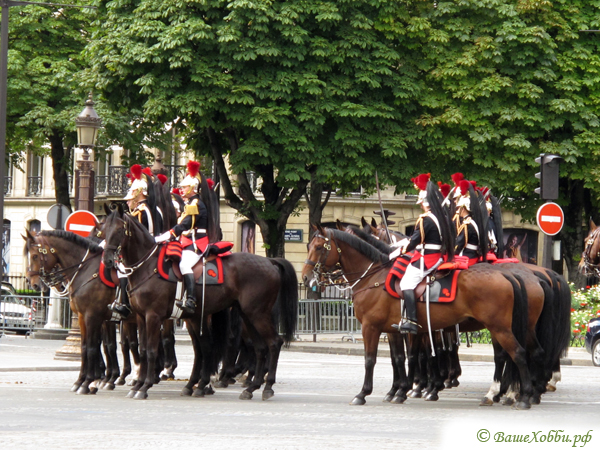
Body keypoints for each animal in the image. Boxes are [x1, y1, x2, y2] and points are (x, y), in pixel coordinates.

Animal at [102, 206, 300, 400]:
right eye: (103, 230)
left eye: (118, 230)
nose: (108, 260)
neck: (147, 266)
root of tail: (269, 261)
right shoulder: (141, 317)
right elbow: (143, 350)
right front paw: (138, 385)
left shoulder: (153, 316)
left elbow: (151, 350)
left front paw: (144, 386)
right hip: (245, 315)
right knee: (258, 347)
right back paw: (249, 387)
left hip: (257, 314)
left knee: (273, 343)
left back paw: (266, 386)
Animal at [304, 223, 536, 410]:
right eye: (308, 246)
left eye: (319, 247)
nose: (306, 277)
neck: (374, 277)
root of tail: (505, 273)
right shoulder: (396, 330)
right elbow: (400, 358)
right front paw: (398, 391)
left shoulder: (371, 327)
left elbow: (371, 360)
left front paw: (364, 393)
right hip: (499, 328)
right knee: (507, 356)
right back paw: (503, 394)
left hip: (500, 328)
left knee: (518, 354)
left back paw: (522, 396)